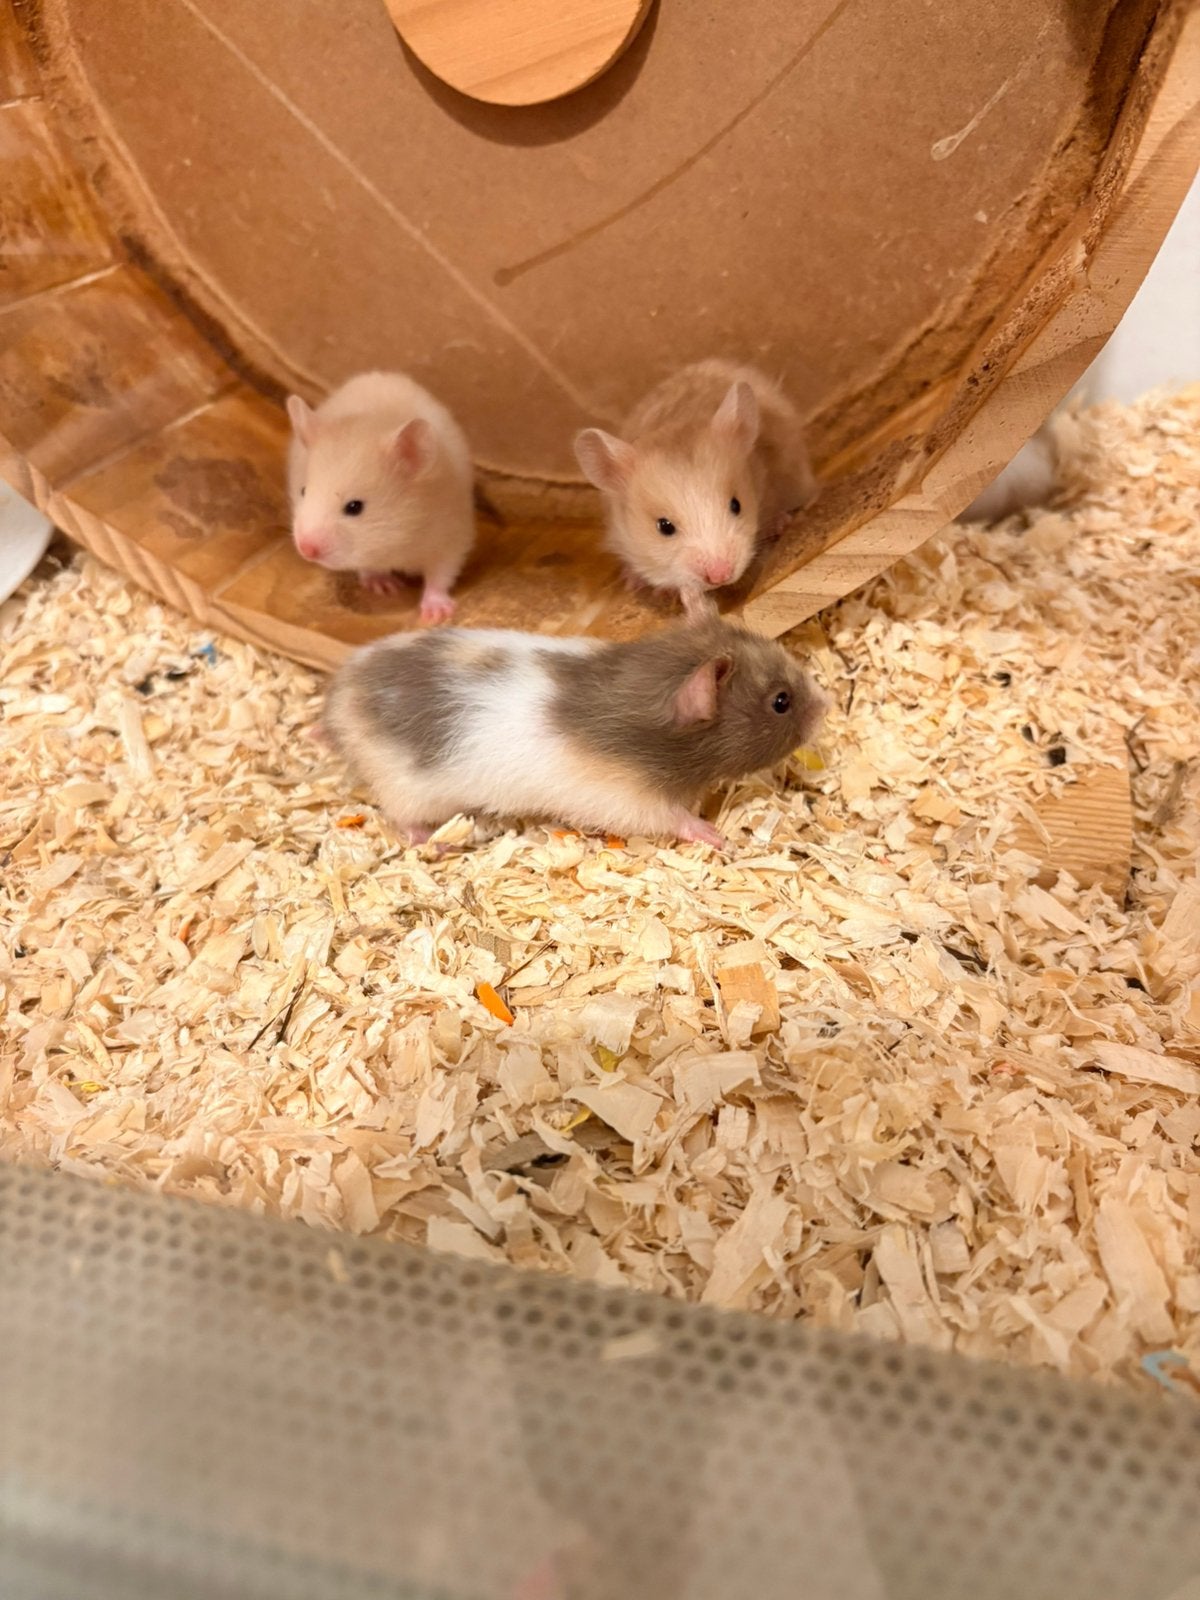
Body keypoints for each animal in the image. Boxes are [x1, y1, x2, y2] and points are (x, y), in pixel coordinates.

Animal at [286, 371, 475, 625]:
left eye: (354, 507)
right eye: (303, 491)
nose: (306, 550)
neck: (398, 541)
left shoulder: (451, 538)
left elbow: (440, 575)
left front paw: (436, 614)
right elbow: (368, 566)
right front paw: (385, 587)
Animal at [322, 617, 827, 848]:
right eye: (781, 702)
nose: (825, 707)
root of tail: (342, 696)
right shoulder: (629, 802)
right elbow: (675, 819)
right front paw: (716, 836)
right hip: (409, 789)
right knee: (402, 818)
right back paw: (436, 842)